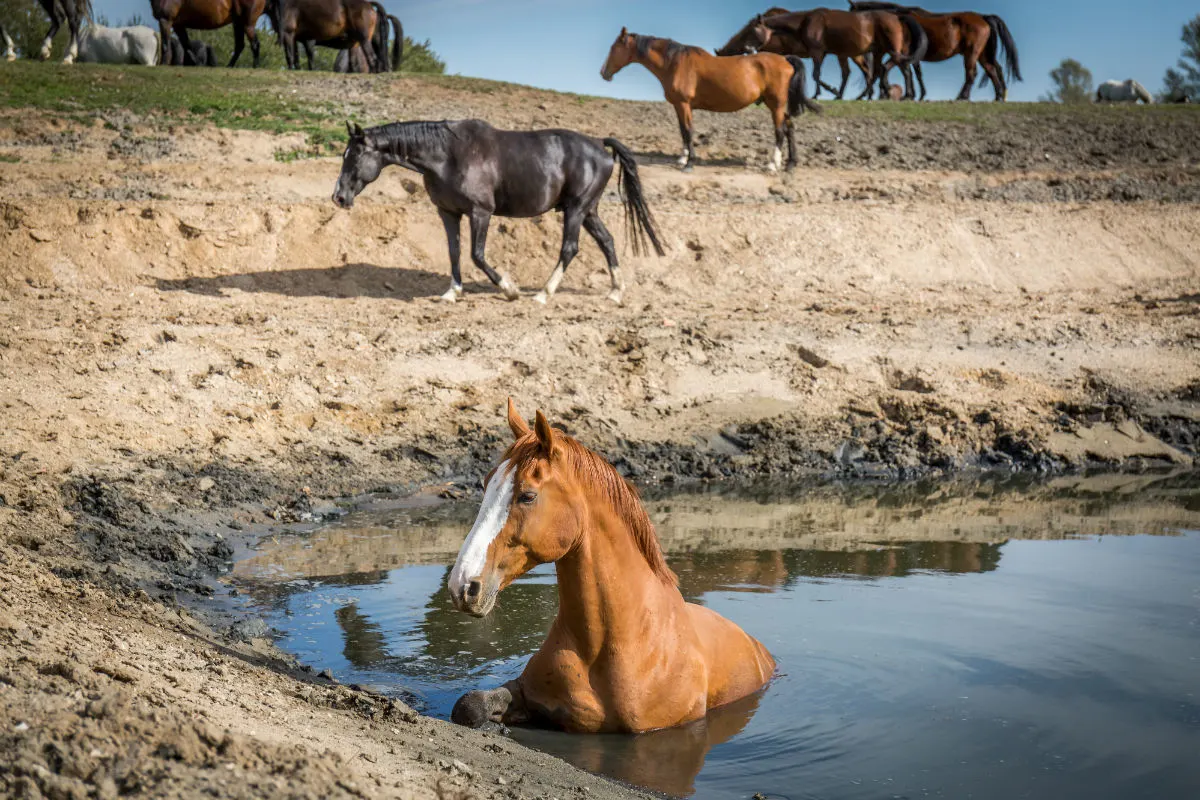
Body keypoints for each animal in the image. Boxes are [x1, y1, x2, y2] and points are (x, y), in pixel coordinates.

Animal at [332, 120, 665, 305]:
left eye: (356, 155)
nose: (338, 197)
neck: (448, 155)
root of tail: (600, 145)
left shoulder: (481, 213)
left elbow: (477, 255)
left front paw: (510, 289)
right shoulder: (448, 213)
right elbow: (455, 252)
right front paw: (453, 292)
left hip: (576, 209)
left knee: (570, 248)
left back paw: (543, 295)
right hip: (588, 212)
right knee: (607, 241)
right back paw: (615, 292)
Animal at [600, 28, 819, 173]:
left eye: (613, 48)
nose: (603, 73)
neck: (675, 63)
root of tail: (785, 59)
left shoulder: (684, 104)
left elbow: (689, 131)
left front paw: (689, 163)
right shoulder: (678, 106)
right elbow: (683, 131)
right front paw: (682, 159)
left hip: (776, 104)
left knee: (780, 131)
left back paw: (773, 165)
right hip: (776, 105)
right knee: (790, 128)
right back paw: (790, 164)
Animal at [848, 2, 1021, 101]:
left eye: (851, 11)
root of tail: (983, 17)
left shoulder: (903, 53)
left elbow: (902, 71)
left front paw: (904, 94)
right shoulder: (910, 56)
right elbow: (916, 73)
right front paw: (916, 94)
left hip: (971, 54)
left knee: (972, 74)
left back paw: (962, 97)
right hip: (981, 55)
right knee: (991, 70)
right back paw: (998, 96)